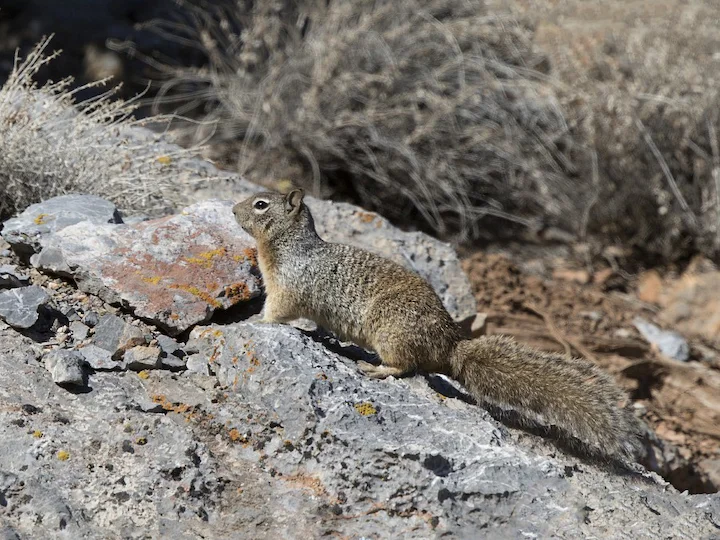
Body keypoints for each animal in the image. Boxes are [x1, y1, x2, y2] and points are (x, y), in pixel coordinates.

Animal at [232, 189, 643, 461]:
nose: (232, 209)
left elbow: (277, 311)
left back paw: (376, 369)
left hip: (391, 332)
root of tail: (450, 347)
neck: (288, 245)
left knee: (407, 366)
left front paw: (254, 320)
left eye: (260, 204)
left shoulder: (289, 288)